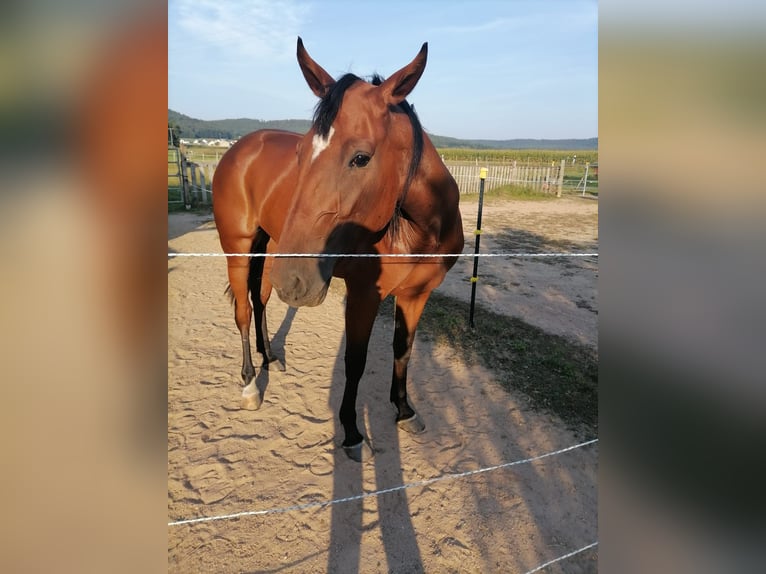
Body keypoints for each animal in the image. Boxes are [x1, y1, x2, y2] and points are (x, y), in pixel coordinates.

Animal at [213, 38, 464, 464]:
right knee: (243, 311)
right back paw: (249, 384)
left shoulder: (417, 294)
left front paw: (404, 409)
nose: (297, 281)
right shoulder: (364, 295)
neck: (421, 227)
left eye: (360, 158)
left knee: (260, 298)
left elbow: (403, 350)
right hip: (240, 248)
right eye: (300, 154)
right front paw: (350, 430)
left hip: (273, 247)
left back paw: (270, 357)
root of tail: (240, 148)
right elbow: (355, 362)